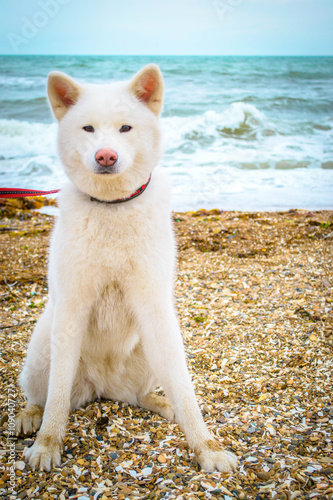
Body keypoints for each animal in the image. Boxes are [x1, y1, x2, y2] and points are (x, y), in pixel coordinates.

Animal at [16, 64, 236, 474]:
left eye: (125, 128)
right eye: (88, 129)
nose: (105, 156)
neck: (112, 205)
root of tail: (104, 387)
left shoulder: (156, 308)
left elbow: (185, 389)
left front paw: (207, 446)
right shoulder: (71, 310)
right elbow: (57, 397)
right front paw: (48, 443)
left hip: (153, 346)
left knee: (141, 394)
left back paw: (161, 403)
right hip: (42, 346)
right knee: (42, 394)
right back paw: (30, 415)